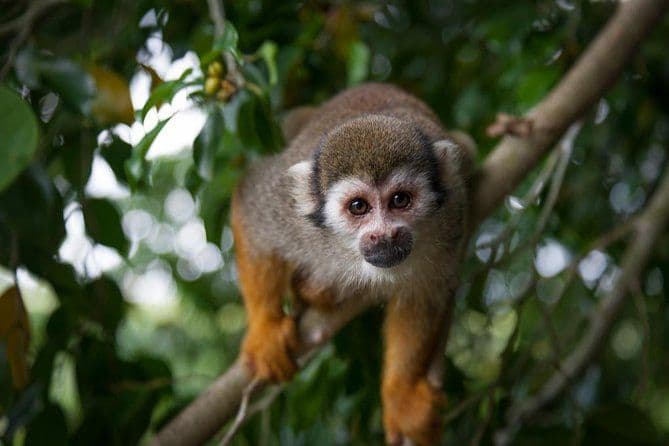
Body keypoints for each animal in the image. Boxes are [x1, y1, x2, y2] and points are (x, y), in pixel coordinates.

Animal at [231, 82, 475, 446]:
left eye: (400, 200)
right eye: (358, 207)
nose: (384, 235)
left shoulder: (452, 215)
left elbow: (423, 295)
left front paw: (401, 394)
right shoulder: (286, 208)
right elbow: (251, 205)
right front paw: (265, 329)